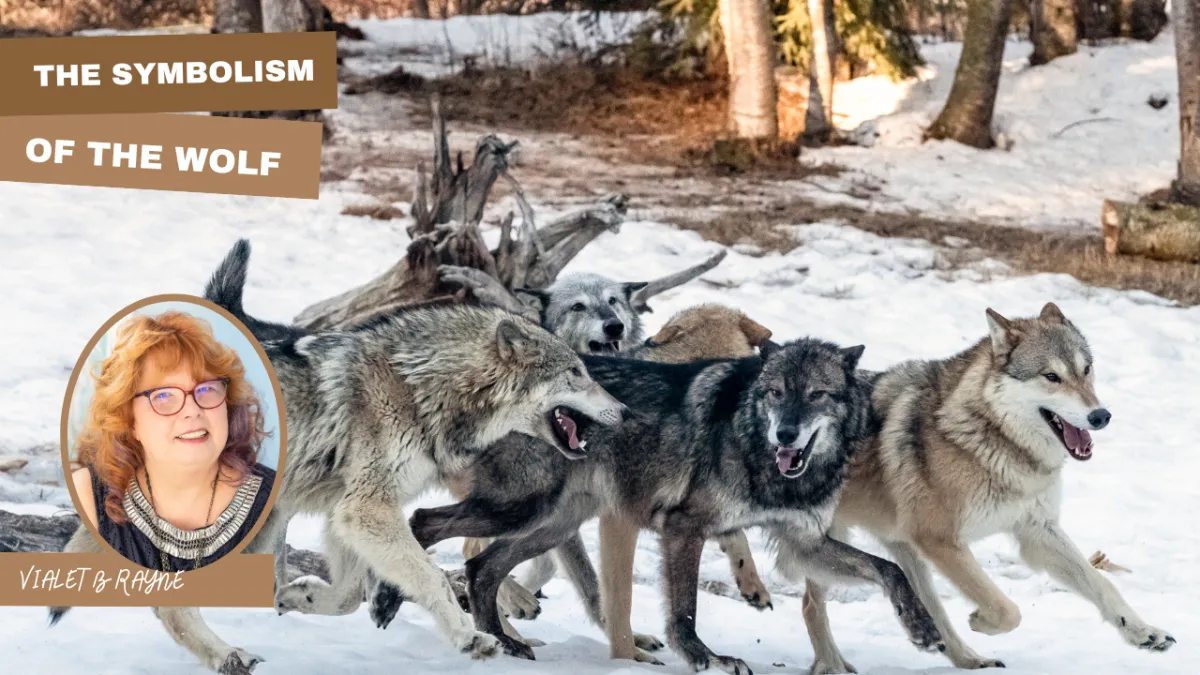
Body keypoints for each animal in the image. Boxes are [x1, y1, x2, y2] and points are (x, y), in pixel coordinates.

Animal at [49, 240, 629, 674]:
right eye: (577, 374)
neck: (419, 385)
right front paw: (469, 639)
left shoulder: (345, 512)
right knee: (164, 595)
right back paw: (226, 654)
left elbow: (349, 593)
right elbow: (429, 576)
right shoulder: (366, 509)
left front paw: (302, 598)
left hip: (263, 524)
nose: (624, 411)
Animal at [403, 338, 945, 672]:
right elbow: (684, 608)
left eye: (816, 394)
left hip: (550, 525)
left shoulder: (803, 544)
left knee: (481, 569)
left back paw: (508, 643)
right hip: (518, 509)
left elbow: (890, 569)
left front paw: (923, 629)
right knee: (423, 523)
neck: (758, 449)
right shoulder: (685, 527)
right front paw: (708, 658)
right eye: (775, 393)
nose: (786, 434)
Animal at [801, 303, 1176, 674]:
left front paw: (1144, 632)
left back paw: (969, 659)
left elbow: (1103, 584)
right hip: (833, 546)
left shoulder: (1037, 531)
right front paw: (979, 620)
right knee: (810, 605)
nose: (1100, 416)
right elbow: (1007, 609)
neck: (991, 439)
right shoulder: (941, 541)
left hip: (904, 550)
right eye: (1051, 377)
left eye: (1086, 370)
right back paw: (832, 665)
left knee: (931, 610)